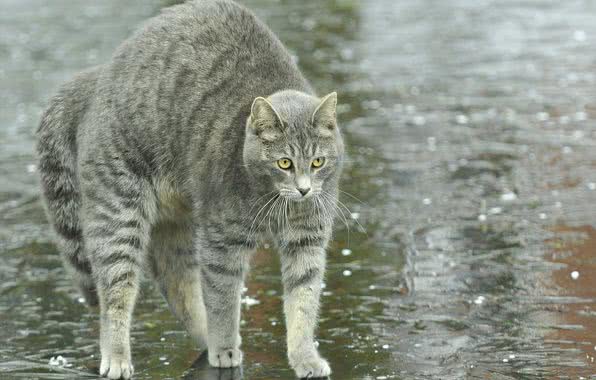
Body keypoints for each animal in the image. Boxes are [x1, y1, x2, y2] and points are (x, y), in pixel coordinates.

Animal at [36, 1, 344, 378]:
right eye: (284, 163)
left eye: (317, 162)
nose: (303, 190)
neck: (275, 200)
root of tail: (99, 76)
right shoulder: (222, 241)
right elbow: (223, 299)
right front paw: (224, 347)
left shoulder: (307, 239)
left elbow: (304, 301)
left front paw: (304, 357)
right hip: (119, 215)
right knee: (115, 295)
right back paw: (120, 356)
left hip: (176, 223)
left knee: (176, 283)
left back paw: (204, 336)